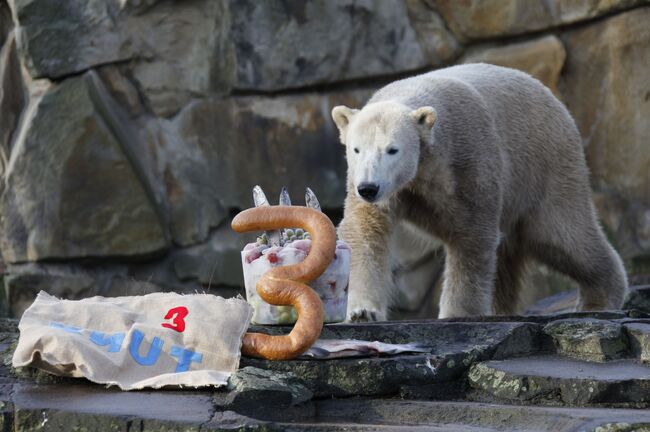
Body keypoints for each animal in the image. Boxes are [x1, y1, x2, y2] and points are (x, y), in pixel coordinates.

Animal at [332, 64, 624, 320]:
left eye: (393, 149)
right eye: (356, 149)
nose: (369, 188)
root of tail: (556, 102)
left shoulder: (467, 161)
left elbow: (471, 237)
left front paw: (457, 313)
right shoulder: (377, 188)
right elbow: (365, 233)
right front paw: (362, 312)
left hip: (545, 165)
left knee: (560, 235)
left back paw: (601, 296)